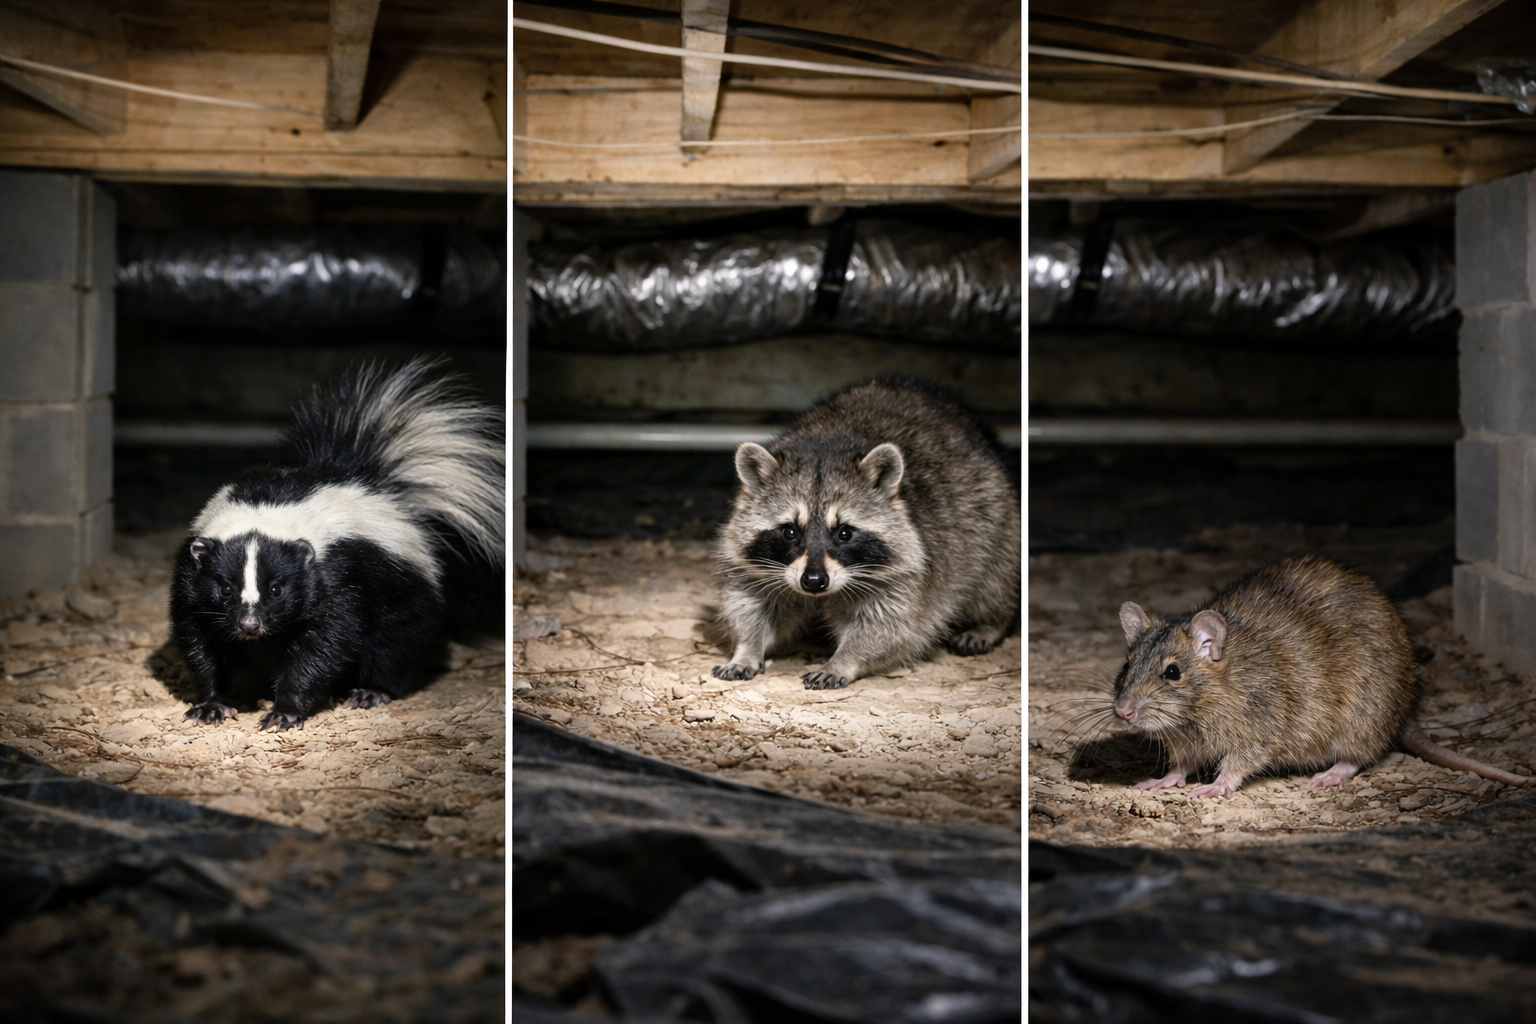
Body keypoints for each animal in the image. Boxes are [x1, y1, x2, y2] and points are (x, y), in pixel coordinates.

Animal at [713, 378, 1020, 690]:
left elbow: (891, 627)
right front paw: (747, 648)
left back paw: (991, 622)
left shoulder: (905, 574)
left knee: (992, 581)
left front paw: (843, 659)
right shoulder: (751, 568)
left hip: (996, 524)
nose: (813, 581)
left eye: (844, 533)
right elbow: (749, 604)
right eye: (789, 531)